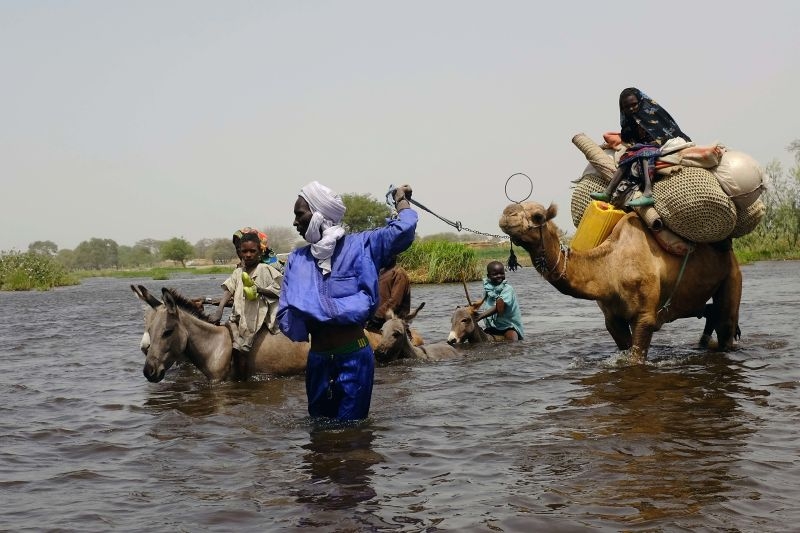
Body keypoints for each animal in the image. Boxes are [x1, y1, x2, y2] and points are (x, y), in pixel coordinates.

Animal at [500, 201, 744, 362]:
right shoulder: (612, 318)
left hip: (732, 275)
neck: (610, 267)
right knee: (709, 311)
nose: (506, 214)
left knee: (726, 323)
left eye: (538, 216)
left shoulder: (644, 316)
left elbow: (635, 358)